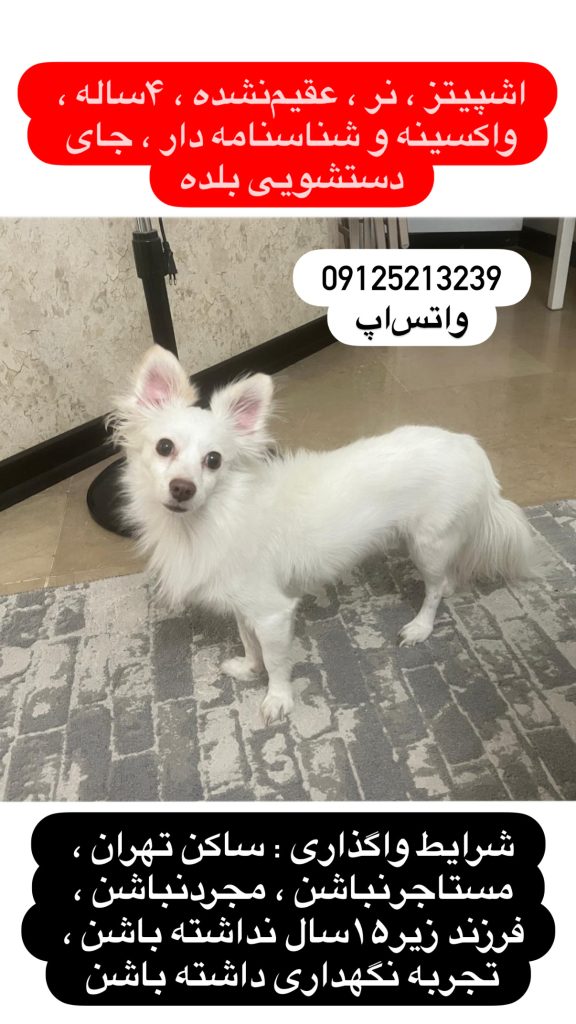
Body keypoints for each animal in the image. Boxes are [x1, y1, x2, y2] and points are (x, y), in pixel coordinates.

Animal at [111, 344, 535, 723]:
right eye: (164, 447)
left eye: (213, 461)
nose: (183, 488)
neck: (207, 521)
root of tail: (470, 447)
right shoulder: (244, 606)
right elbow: (249, 642)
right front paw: (249, 669)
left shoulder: (273, 613)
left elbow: (276, 660)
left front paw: (277, 699)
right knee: (445, 580)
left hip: (428, 545)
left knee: (433, 589)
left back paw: (420, 627)